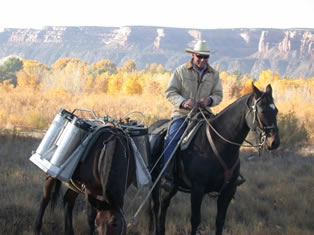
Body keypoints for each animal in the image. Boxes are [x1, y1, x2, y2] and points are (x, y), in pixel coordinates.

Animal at [148, 84, 280, 235]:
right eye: (262, 110)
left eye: (276, 110)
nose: (274, 142)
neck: (219, 144)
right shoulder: (197, 190)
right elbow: (195, 220)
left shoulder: (228, 190)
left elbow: (220, 221)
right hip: (155, 181)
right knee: (155, 206)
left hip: (173, 186)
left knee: (164, 204)